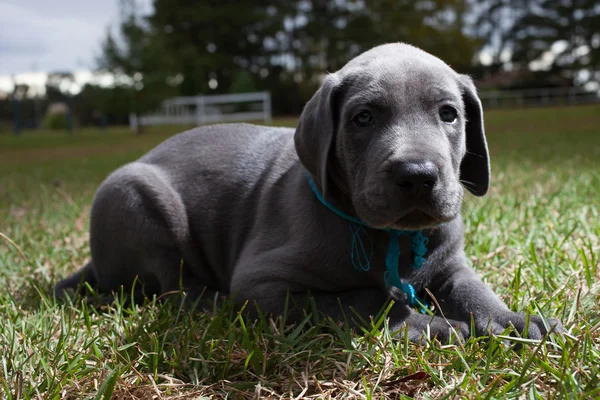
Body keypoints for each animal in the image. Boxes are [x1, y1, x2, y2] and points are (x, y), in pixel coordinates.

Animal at [55, 44, 564, 344]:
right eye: (363, 118)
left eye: (449, 113)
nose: (418, 175)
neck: (390, 238)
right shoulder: (264, 284)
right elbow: (364, 301)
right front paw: (436, 325)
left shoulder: (452, 264)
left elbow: (475, 291)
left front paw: (518, 321)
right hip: (136, 198)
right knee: (173, 288)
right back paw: (209, 302)